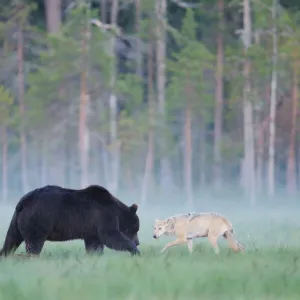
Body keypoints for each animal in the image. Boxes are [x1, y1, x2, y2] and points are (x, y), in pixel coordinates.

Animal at [0, 184, 141, 256]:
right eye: (136, 229)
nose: (138, 242)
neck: (117, 212)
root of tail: (23, 201)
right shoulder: (104, 216)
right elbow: (111, 236)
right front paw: (135, 251)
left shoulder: (92, 228)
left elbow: (94, 244)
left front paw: (94, 255)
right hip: (38, 219)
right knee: (34, 243)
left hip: (17, 220)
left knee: (11, 239)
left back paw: (5, 255)